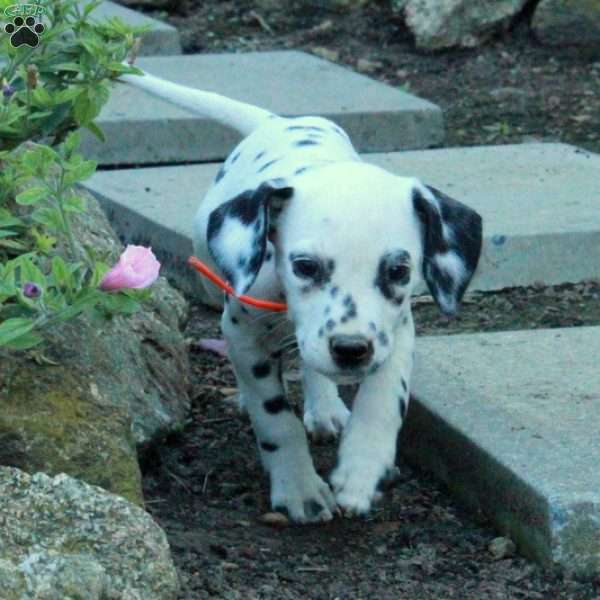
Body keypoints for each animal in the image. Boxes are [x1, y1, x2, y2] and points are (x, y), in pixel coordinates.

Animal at [120, 68, 482, 524]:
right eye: (305, 266)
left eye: (399, 271)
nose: (351, 349)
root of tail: (276, 122)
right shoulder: (244, 332)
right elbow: (275, 418)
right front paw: (299, 487)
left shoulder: (397, 332)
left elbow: (384, 398)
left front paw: (362, 467)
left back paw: (326, 408)